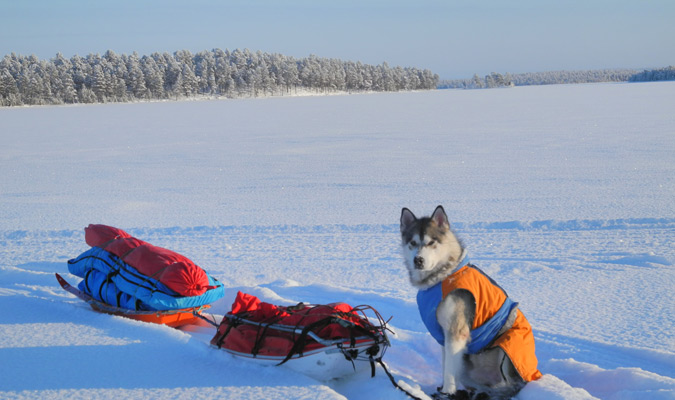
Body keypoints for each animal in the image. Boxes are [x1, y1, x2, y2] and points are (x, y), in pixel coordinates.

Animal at [398, 206, 540, 400]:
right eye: (412, 242)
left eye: (431, 242)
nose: (418, 260)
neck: (444, 275)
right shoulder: (444, 335)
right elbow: (447, 367)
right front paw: (444, 390)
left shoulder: (456, 333)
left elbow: (449, 372)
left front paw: (447, 393)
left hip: (507, 350)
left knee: (512, 385)